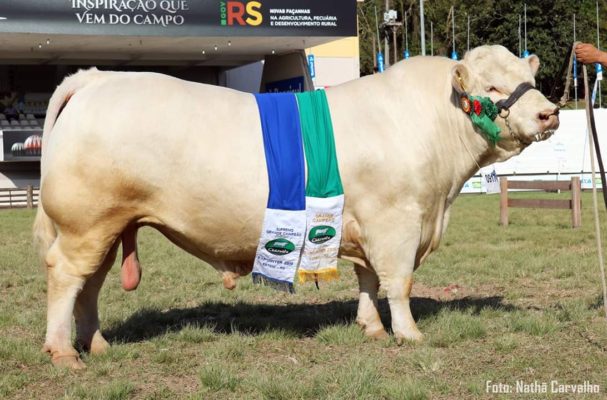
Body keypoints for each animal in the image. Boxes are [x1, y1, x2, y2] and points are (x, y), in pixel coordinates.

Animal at [34, 44, 560, 368]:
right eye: (492, 88)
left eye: (527, 77)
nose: (549, 113)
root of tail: (98, 78)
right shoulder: (397, 221)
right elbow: (399, 282)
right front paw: (409, 335)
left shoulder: (365, 223)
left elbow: (368, 280)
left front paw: (371, 328)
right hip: (85, 223)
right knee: (65, 276)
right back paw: (63, 352)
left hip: (108, 226)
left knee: (90, 285)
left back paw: (97, 345)